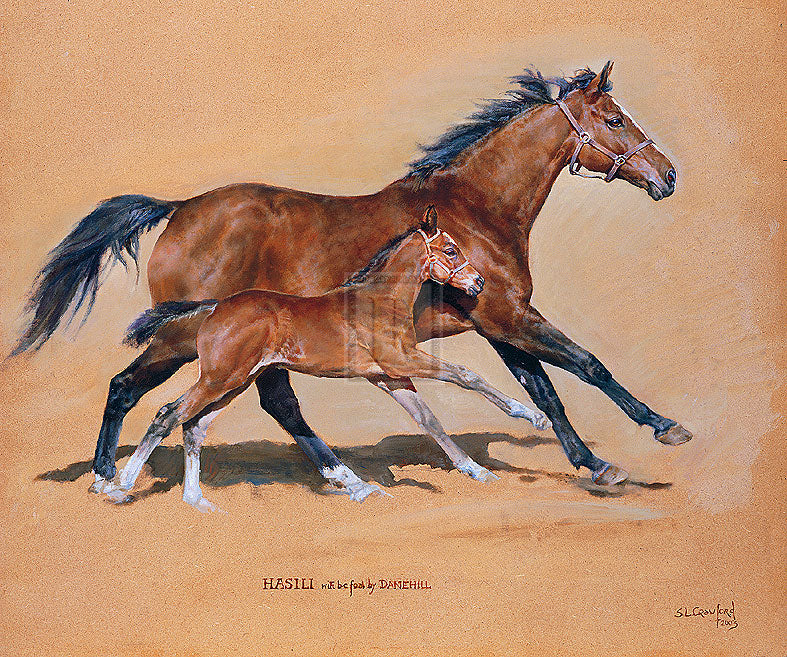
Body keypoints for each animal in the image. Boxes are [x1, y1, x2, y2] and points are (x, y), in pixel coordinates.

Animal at [109, 208, 549, 510]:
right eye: (451, 249)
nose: (478, 283)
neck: (379, 299)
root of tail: (215, 306)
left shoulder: (388, 375)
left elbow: (429, 420)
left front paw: (478, 471)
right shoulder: (402, 360)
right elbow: (465, 375)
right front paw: (532, 416)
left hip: (236, 382)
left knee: (194, 426)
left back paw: (197, 500)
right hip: (219, 379)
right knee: (168, 414)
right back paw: (119, 485)